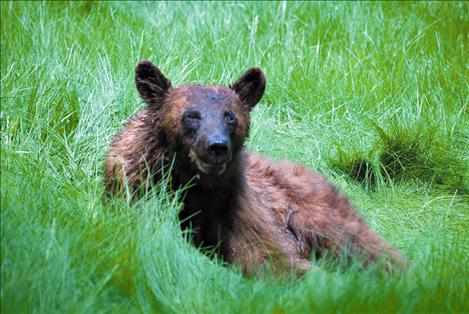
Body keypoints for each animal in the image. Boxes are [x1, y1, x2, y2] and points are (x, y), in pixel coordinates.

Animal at [104, 60, 404, 274]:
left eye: (230, 116)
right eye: (192, 115)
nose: (216, 146)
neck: (193, 184)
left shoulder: (237, 211)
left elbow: (268, 256)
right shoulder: (138, 192)